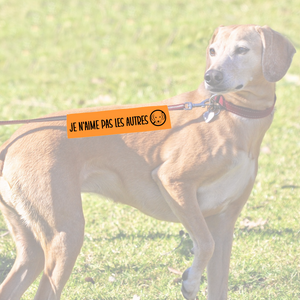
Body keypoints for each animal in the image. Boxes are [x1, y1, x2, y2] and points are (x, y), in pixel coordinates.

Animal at [0, 24, 296, 298]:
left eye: (242, 49)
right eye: (213, 51)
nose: (211, 76)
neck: (229, 113)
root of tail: (11, 142)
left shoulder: (224, 223)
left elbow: (217, 275)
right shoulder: (174, 183)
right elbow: (205, 244)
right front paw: (190, 282)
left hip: (33, 249)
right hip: (66, 235)